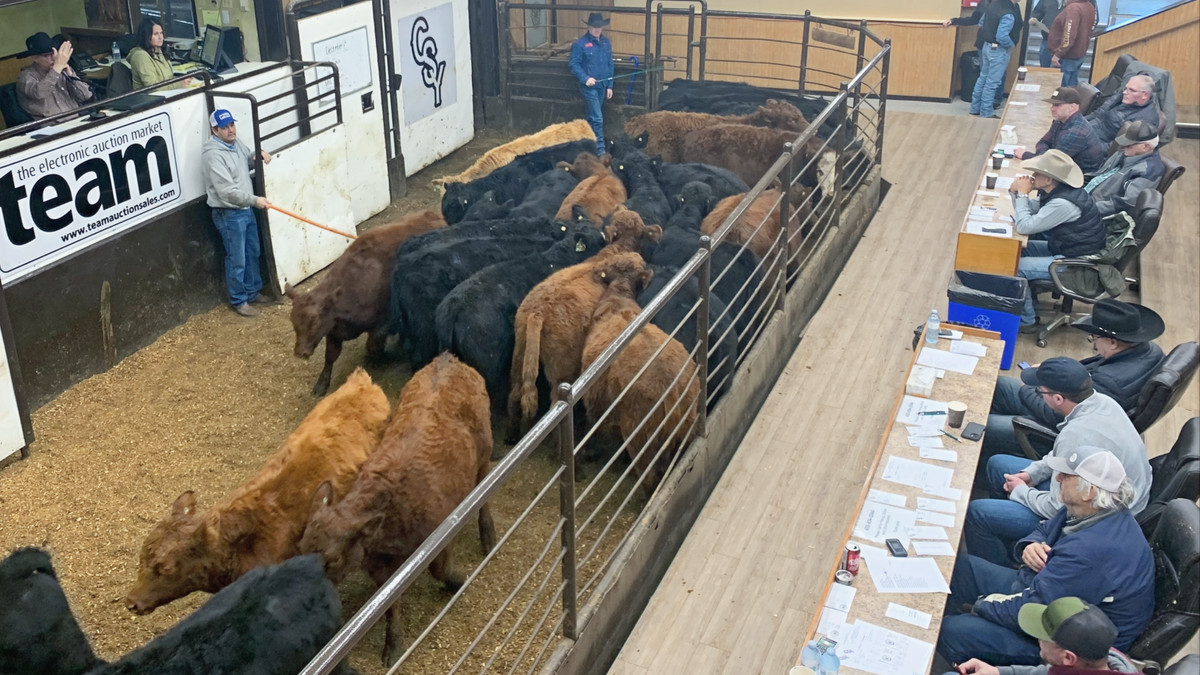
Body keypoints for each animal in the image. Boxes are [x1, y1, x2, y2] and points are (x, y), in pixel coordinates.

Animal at [286, 209, 446, 396]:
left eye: (314, 322)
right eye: (294, 323)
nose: (300, 352)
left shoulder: (385, 321)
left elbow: (373, 344)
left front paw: (376, 359)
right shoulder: (333, 331)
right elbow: (330, 356)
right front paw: (321, 384)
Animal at [300, 354, 496, 666]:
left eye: (332, 559)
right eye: (301, 549)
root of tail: (447, 358)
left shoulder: (442, 534)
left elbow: (440, 570)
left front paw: (457, 581)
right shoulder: (381, 569)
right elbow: (390, 606)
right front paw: (393, 646)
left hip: (485, 452)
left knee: (484, 491)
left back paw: (488, 535)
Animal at [581, 260, 700, 490]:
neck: (619, 302)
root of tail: (670, 388)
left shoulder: (594, 400)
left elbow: (593, 426)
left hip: (641, 434)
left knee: (649, 476)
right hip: (685, 428)